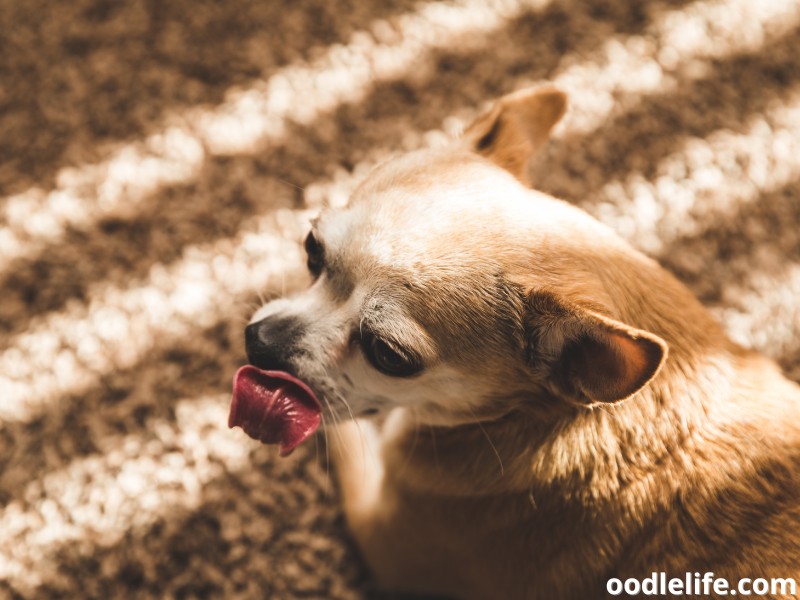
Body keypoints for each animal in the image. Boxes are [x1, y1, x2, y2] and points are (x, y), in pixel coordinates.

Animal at [234, 86, 800, 596]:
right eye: (312, 251)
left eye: (388, 355)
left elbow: (352, 437)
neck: (537, 419)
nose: (258, 342)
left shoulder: (380, 532)